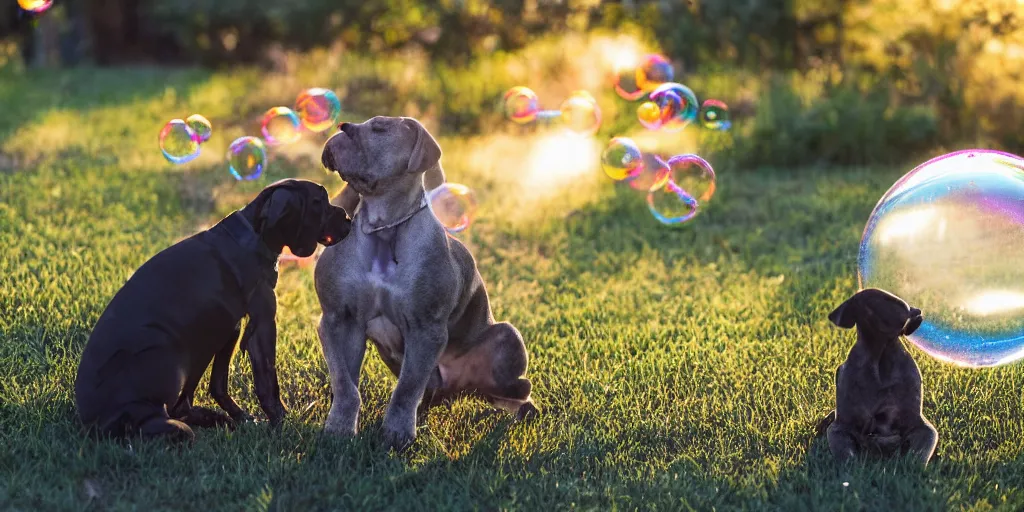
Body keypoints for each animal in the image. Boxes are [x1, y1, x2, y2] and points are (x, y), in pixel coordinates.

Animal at [74, 179, 350, 440]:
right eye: (320, 201)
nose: (348, 217)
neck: (254, 236)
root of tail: (96, 421)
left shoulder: (233, 327)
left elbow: (219, 383)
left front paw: (246, 420)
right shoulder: (262, 323)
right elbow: (267, 382)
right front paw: (282, 424)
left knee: (181, 405)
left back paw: (215, 420)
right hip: (165, 352)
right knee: (154, 418)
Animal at [315, 117, 540, 452]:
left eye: (379, 128)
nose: (342, 128)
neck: (384, 226)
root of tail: (457, 389)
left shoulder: (426, 328)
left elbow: (406, 389)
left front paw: (396, 433)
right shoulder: (337, 319)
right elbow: (345, 383)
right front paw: (340, 427)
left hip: (506, 339)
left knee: (513, 391)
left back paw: (523, 410)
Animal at [819, 290, 937, 466]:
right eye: (886, 299)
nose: (916, 310)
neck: (880, 358)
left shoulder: (922, 427)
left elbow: (917, 456)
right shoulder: (840, 428)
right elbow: (848, 457)